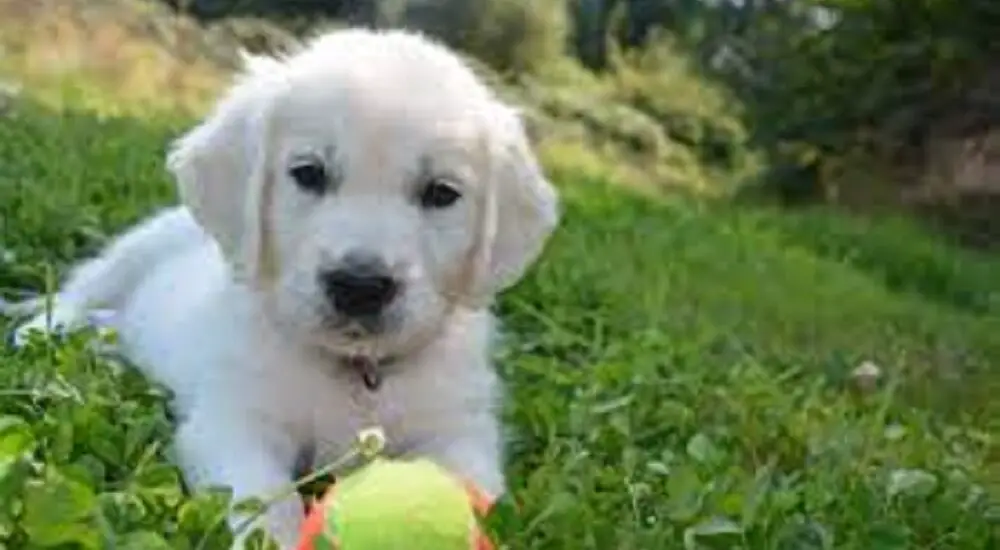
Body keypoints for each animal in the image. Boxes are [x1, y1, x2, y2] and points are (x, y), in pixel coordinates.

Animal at [5, 29, 556, 548]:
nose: (359, 286)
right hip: (139, 246)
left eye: (442, 193)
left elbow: (469, 489)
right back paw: (44, 332)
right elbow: (266, 500)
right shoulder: (235, 420)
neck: (356, 371)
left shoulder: (459, 429)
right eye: (308, 173)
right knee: (80, 291)